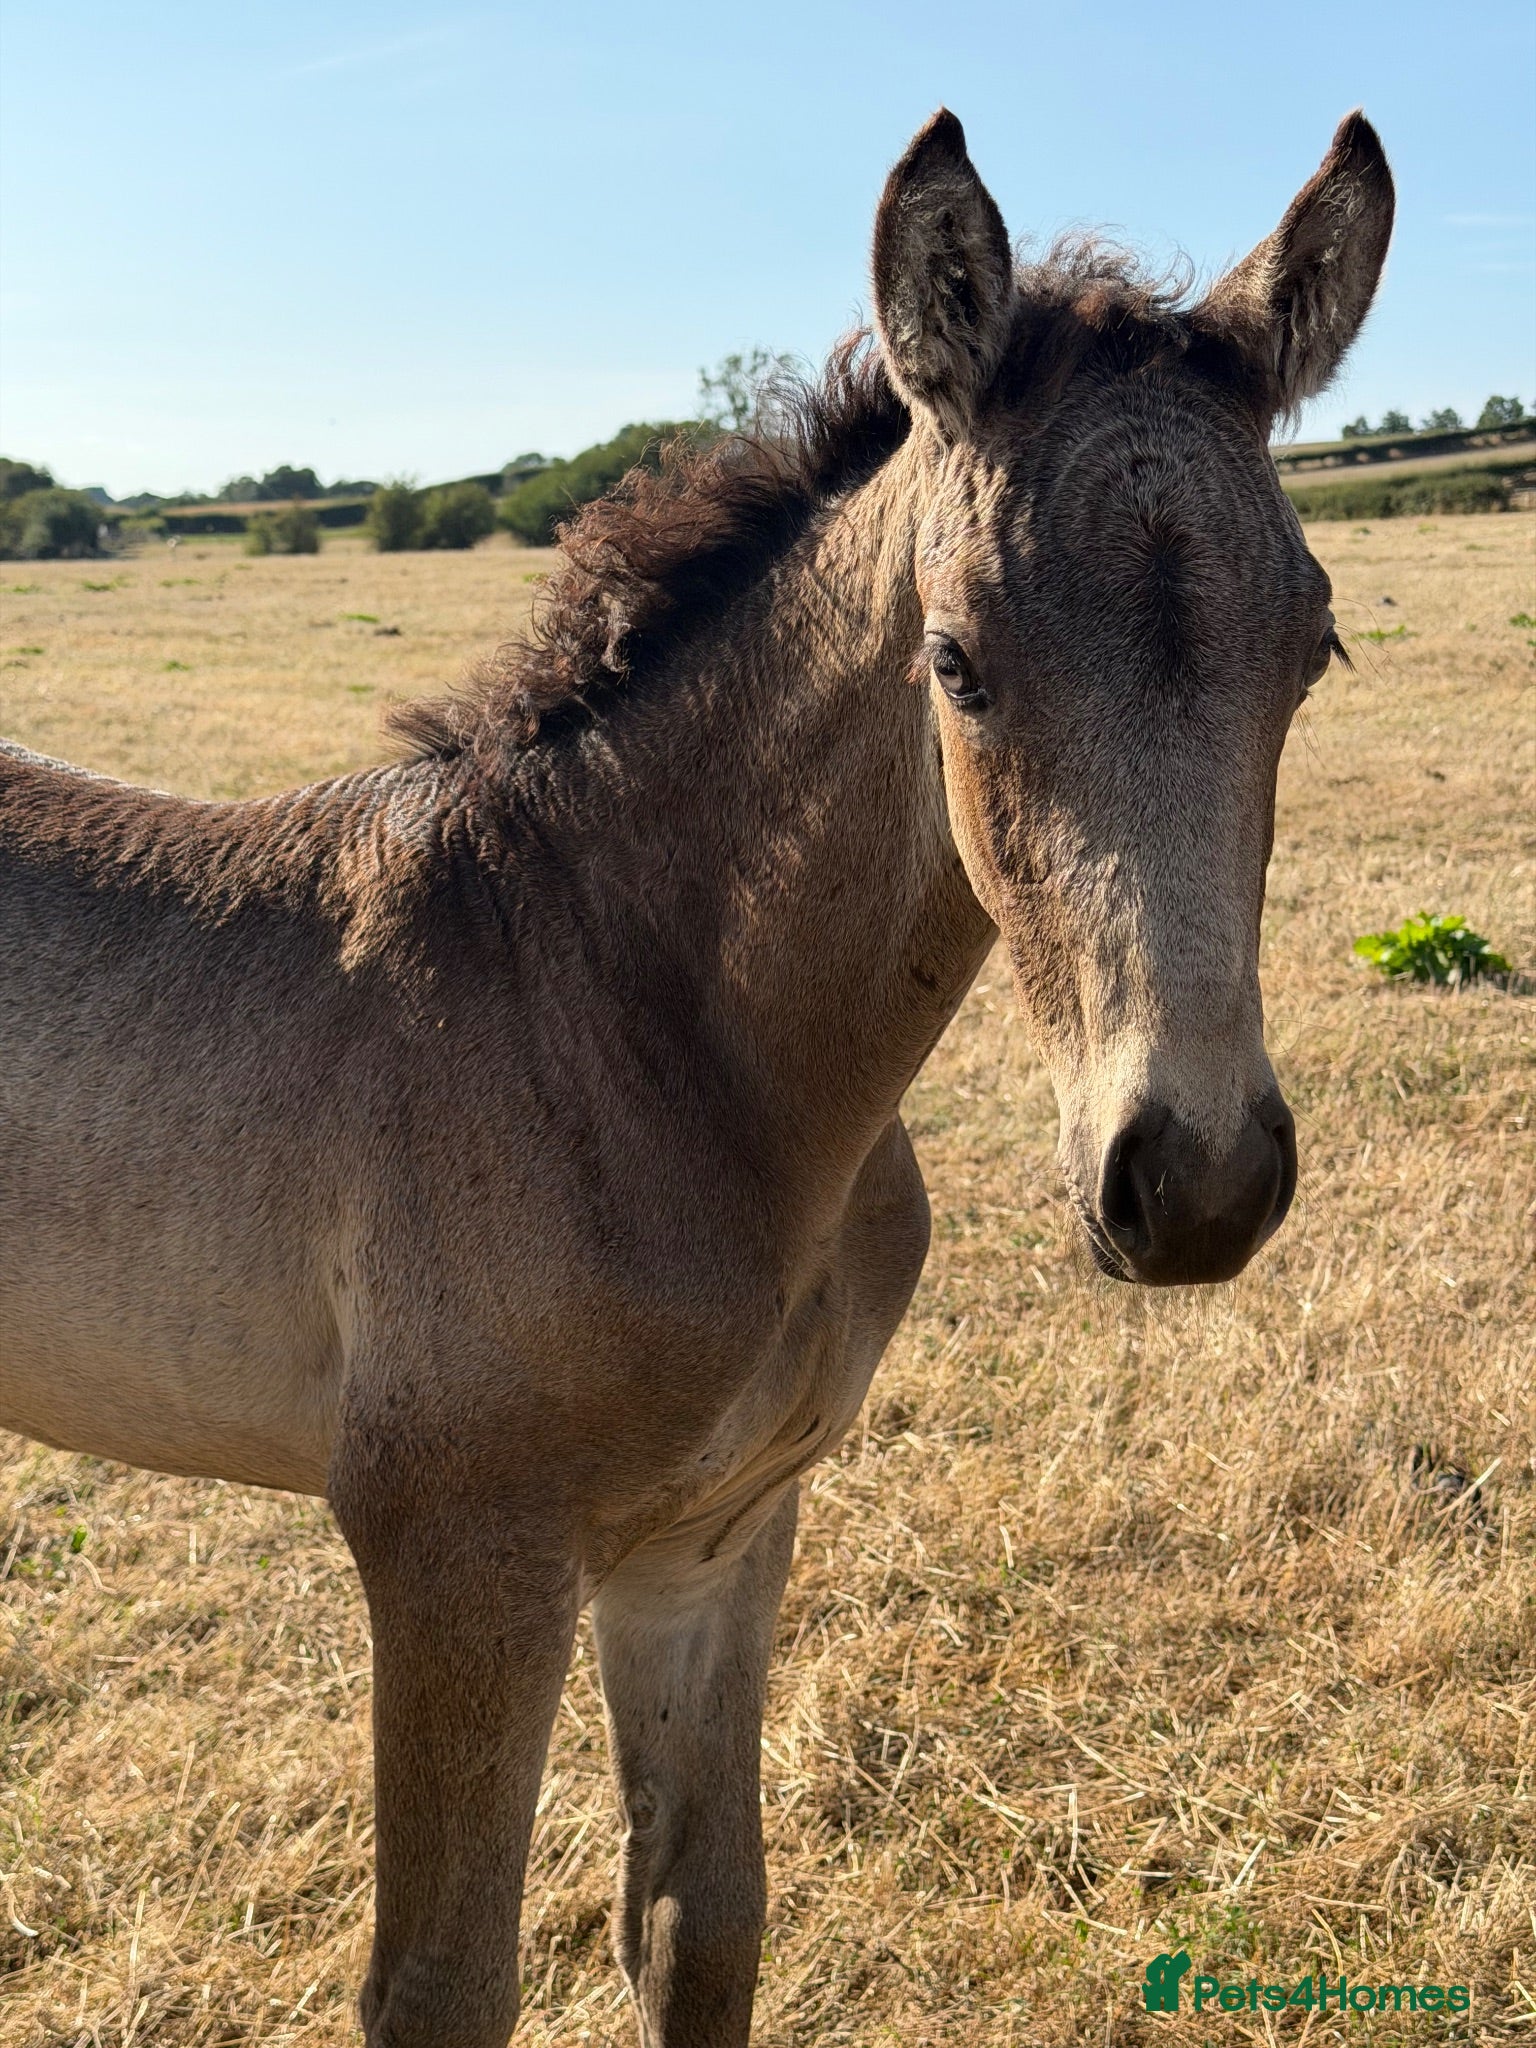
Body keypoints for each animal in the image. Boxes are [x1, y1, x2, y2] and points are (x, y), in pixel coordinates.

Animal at [0, 108, 1392, 2047]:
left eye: (1313, 645)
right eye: (955, 661)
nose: (1192, 1181)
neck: (628, 1022)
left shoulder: (716, 1538)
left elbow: (696, 1920)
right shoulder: (457, 1554)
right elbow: (441, 1985)